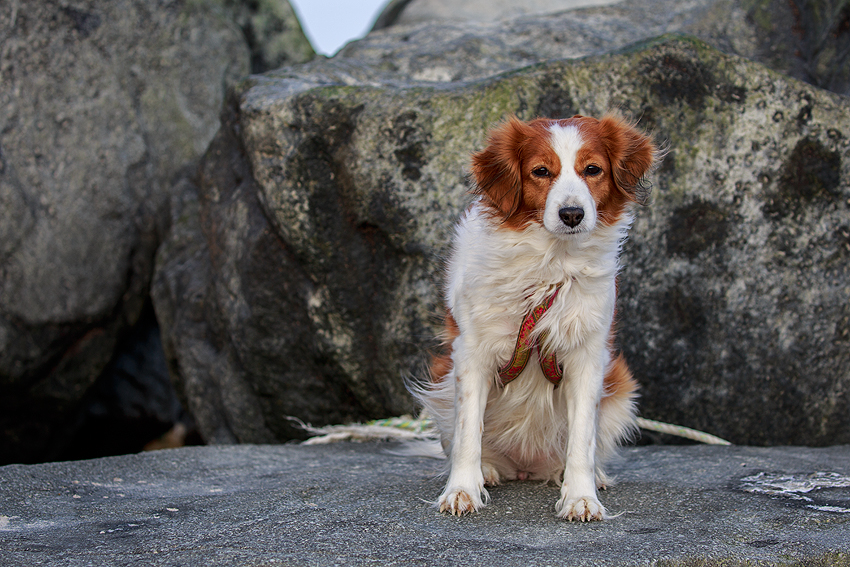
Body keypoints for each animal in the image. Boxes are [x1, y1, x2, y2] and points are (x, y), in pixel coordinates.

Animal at [414, 113, 660, 520]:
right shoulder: (470, 355)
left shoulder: (588, 358)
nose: (572, 214)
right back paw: (488, 470)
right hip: (441, 382)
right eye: (541, 171)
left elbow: (582, 438)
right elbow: (467, 433)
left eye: (592, 169)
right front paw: (462, 489)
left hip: (620, 385)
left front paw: (581, 496)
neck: (549, 264)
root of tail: (526, 467)